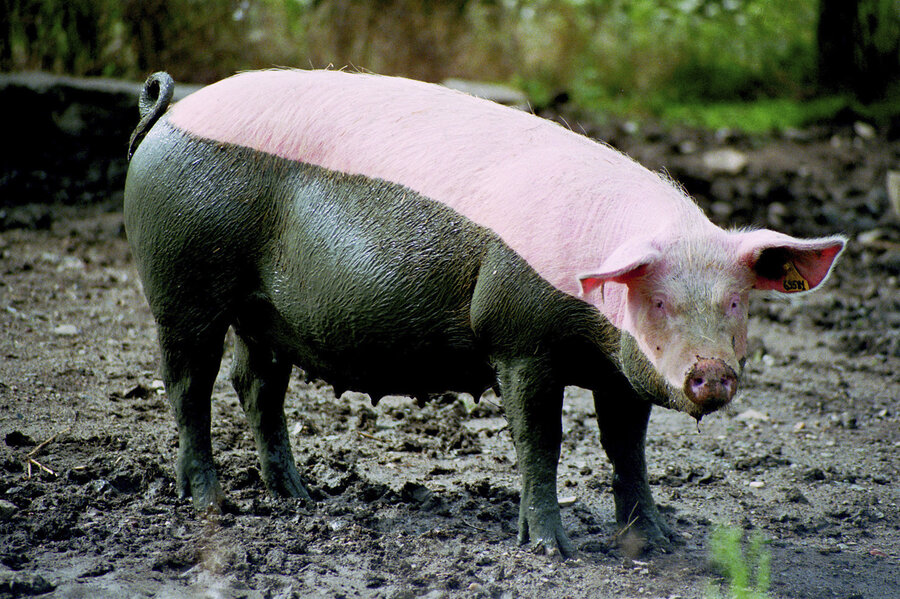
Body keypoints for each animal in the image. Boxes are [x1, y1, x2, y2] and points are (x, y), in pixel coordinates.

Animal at [124, 69, 845, 557]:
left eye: (735, 300)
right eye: (658, 300)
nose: (712, 374)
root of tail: (167, 112)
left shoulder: (619, 369)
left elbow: (627, 449)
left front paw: (659, 543)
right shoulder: (518, 341)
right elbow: (541, 441)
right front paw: (552, 549)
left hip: (265, 312)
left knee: (255, 384)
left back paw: (298, 496)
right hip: (180, 281)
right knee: (188, 382)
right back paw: (211, 498)